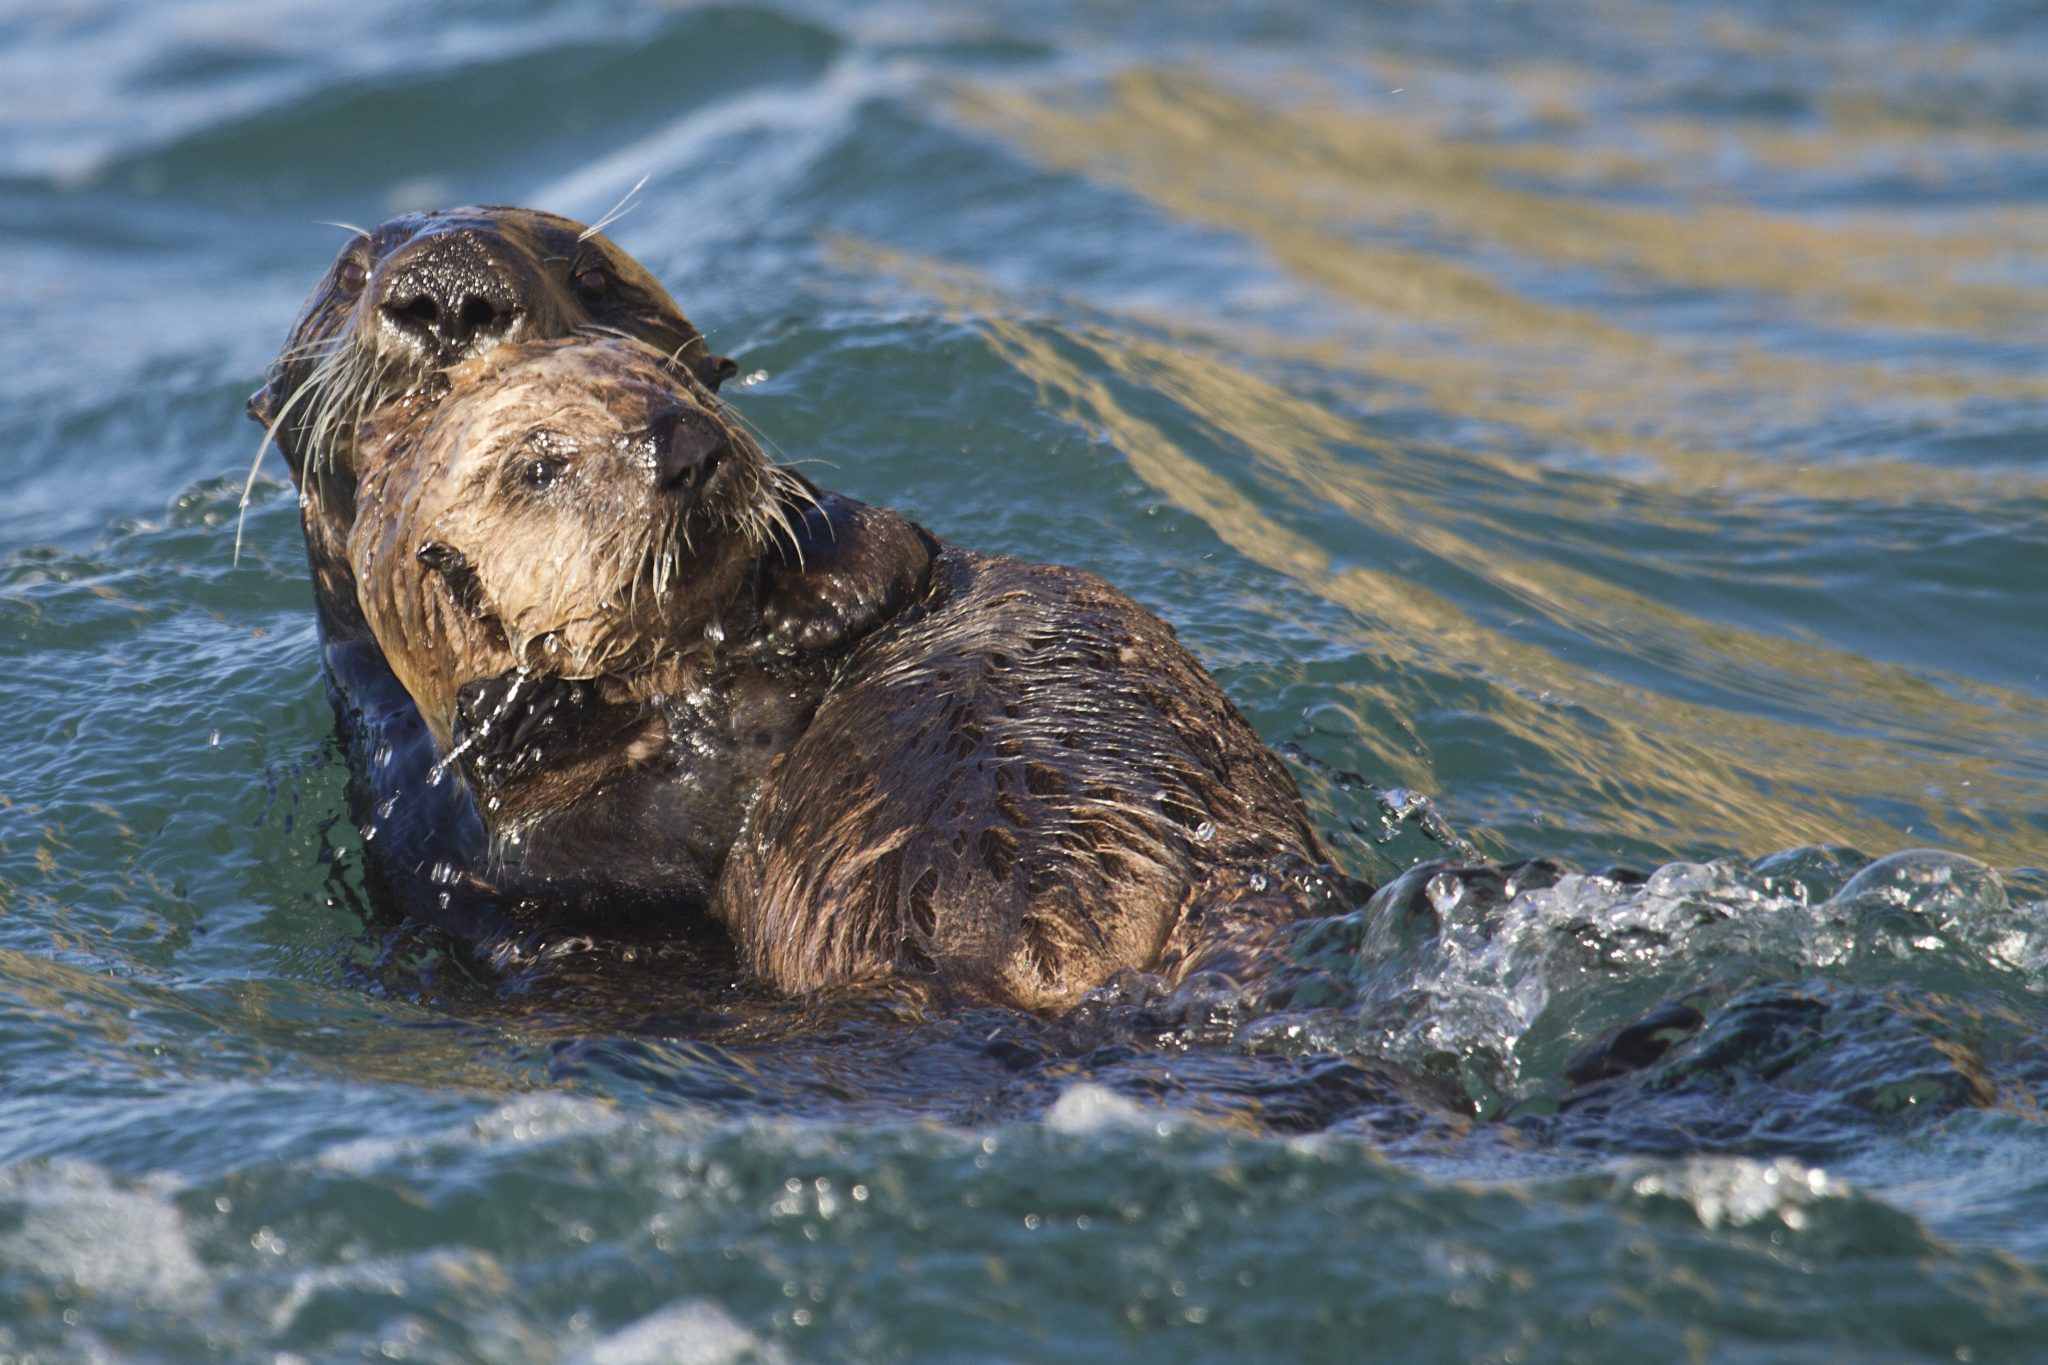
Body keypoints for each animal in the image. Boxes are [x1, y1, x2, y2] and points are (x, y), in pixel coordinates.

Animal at [346, 335, 1351, 1010]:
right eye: (538, 467)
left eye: (667, 379)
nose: (683, 444)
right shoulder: (534, 836)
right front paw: (525, 703)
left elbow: (885, 552)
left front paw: (790, 591)